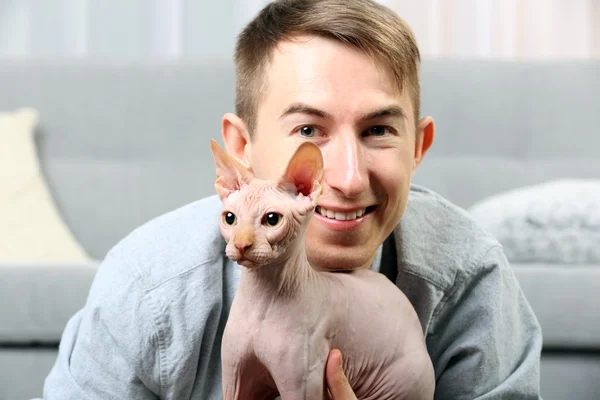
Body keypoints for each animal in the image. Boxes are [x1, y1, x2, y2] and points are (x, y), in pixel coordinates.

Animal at [213, 138, 434, 400]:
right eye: (229, 218)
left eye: (272, 219)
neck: (261, 305)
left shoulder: (301, 383)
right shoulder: (234, 380)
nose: (241, 245)